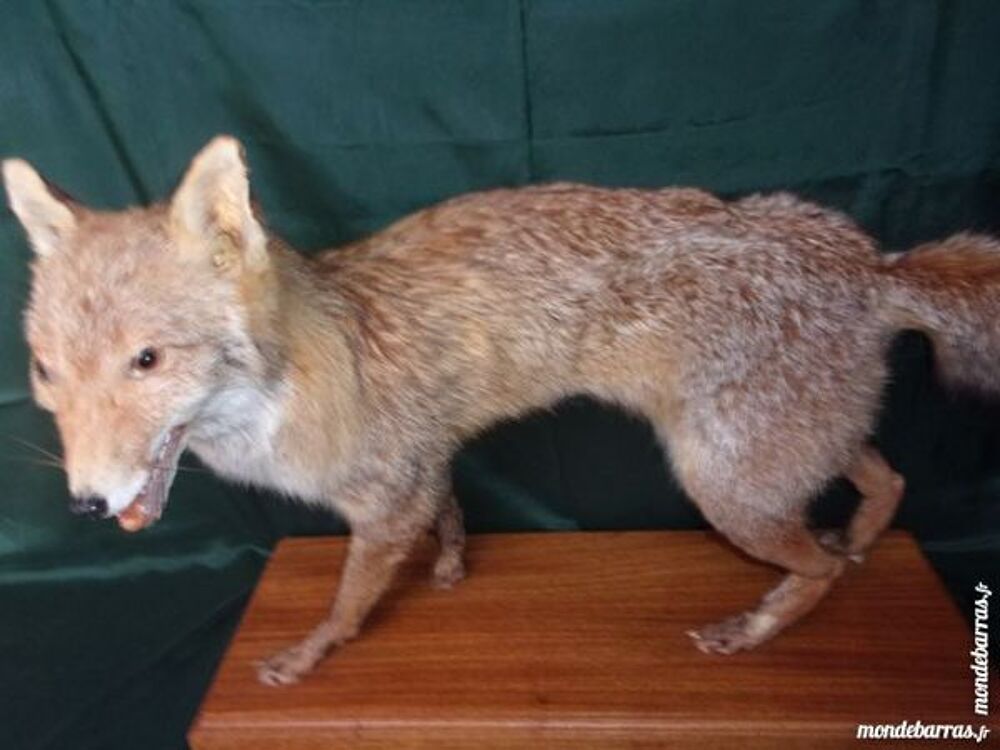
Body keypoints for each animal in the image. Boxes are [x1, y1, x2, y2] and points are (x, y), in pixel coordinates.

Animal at [4, 136, 1000, 686]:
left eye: (147, 361)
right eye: (47, 372)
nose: (87, 504)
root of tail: (873, 264)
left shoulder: (384, 498)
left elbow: (350, 600)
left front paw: (314, 652)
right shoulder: (425, 458)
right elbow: (449, 504)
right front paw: (450, 567)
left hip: (726, 487)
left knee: (820, 564)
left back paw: (759, 626)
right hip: (795, 450)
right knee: (887, 480)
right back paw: (860, 540)